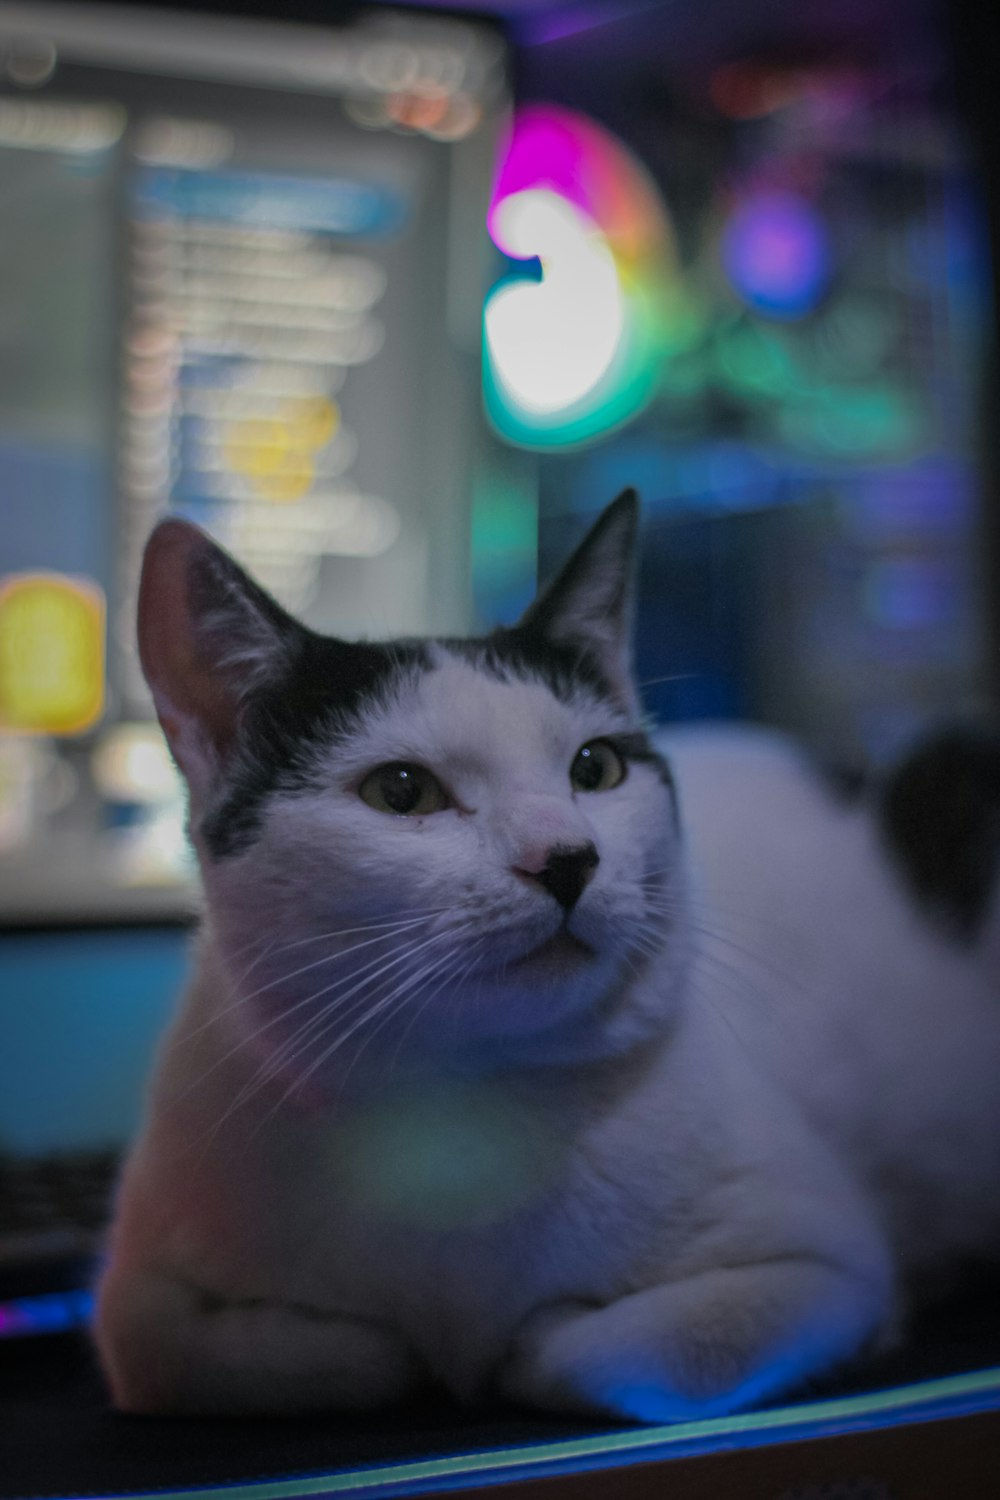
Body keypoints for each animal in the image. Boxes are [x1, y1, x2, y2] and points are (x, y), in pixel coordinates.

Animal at [95, 492, 1000, 1416]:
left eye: (595, 768)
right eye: (401, 791)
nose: (568, 860)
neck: (456, 1109)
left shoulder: (826, 1265)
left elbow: (628, 1349)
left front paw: (513, 1342)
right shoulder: (136, 1289)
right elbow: (195, 1352)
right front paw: (396, 1349)